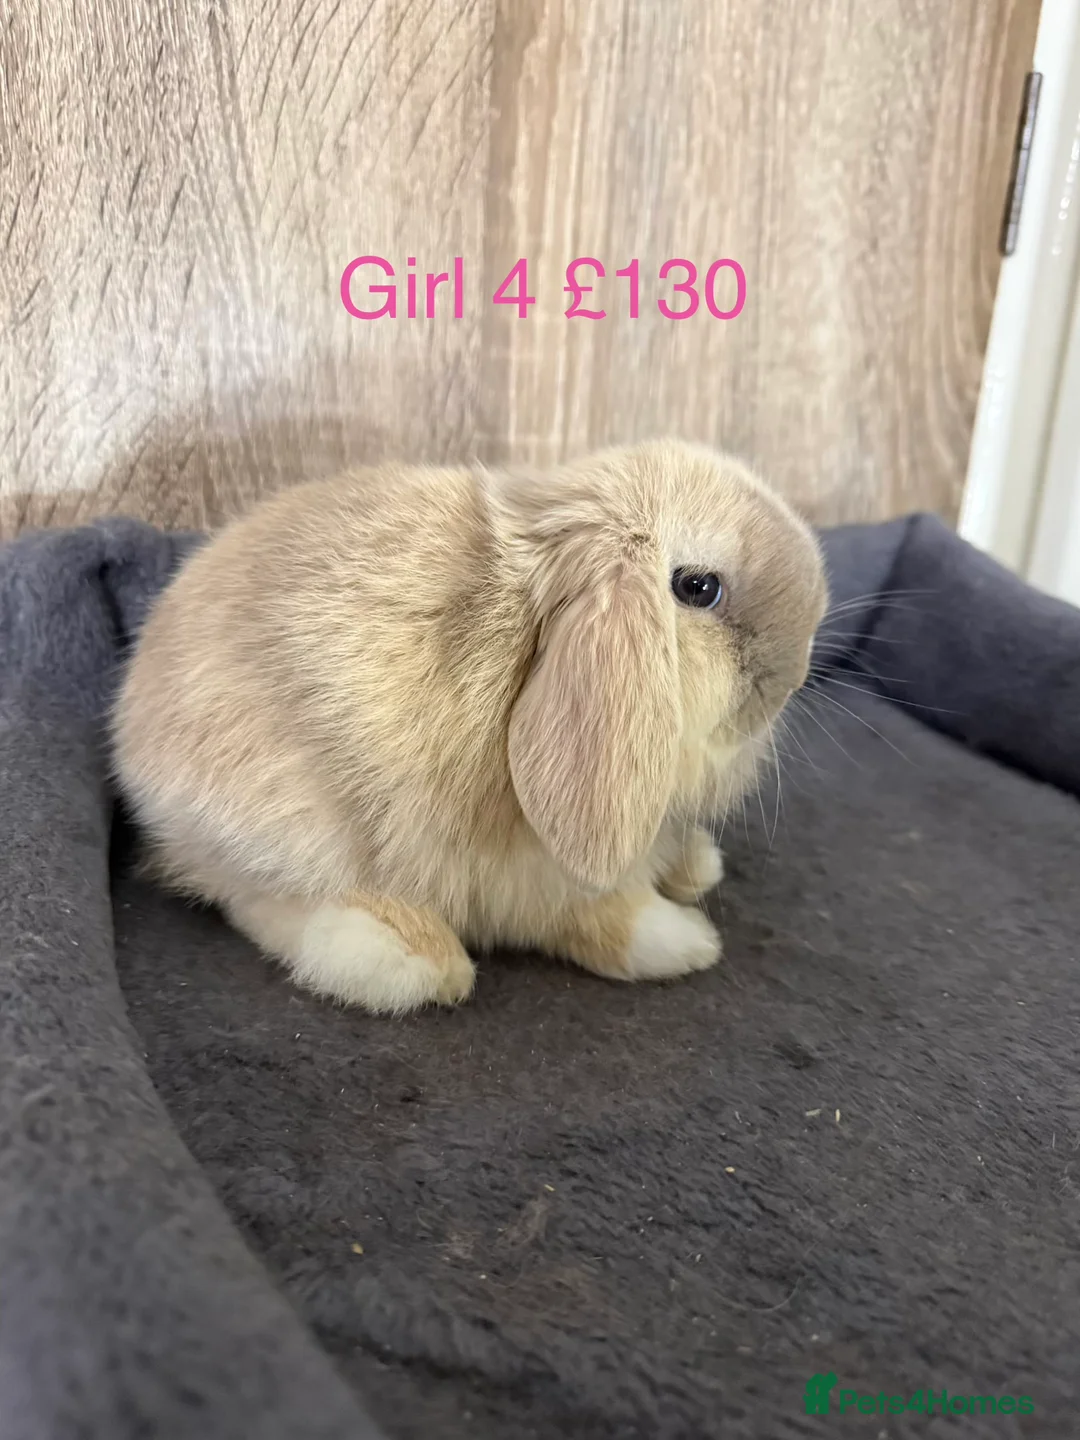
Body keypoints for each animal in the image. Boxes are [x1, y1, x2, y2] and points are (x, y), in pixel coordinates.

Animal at [111, 438, 827, 1015]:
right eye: (698, 588)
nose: (794, 674)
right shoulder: (548, 879)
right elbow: (606, 917)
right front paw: (687, 944)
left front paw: (697, 865)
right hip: (286, 832)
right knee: (262, 904)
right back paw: (412, 960)